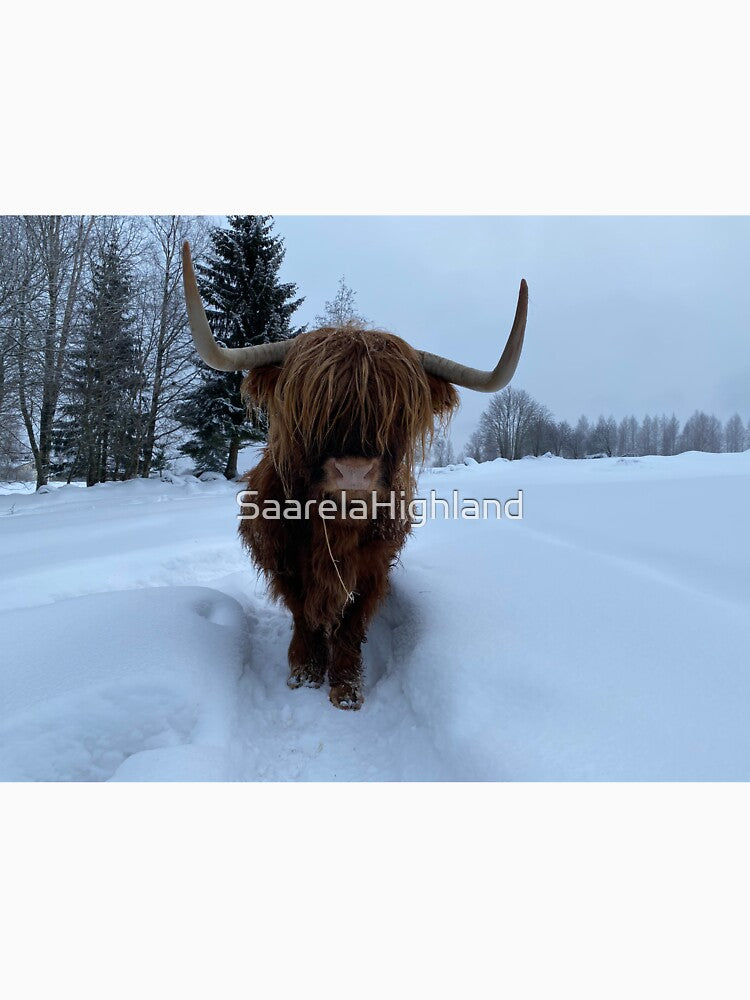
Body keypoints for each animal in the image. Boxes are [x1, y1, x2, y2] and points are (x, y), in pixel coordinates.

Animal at [182, 241, 527, 709]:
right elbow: (303, 614)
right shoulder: (283, 559)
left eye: (397, 412)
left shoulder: (374, 566)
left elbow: (351, 622)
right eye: (311, 404)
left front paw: (346, 687)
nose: (354, 472)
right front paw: (305, 673)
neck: (336, 528)